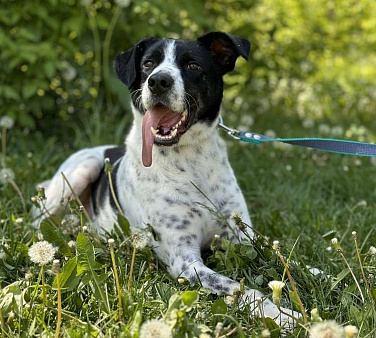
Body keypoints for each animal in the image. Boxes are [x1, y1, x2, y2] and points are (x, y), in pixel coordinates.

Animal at [34, 32, 300, 330]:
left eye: (193, 65)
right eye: (148, 63)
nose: (159, 81)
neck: (190, 161)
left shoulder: (242, 238)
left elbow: (292, 262)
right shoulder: (185, 261)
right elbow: (240, 289)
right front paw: (281, 314)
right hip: (78, 173)